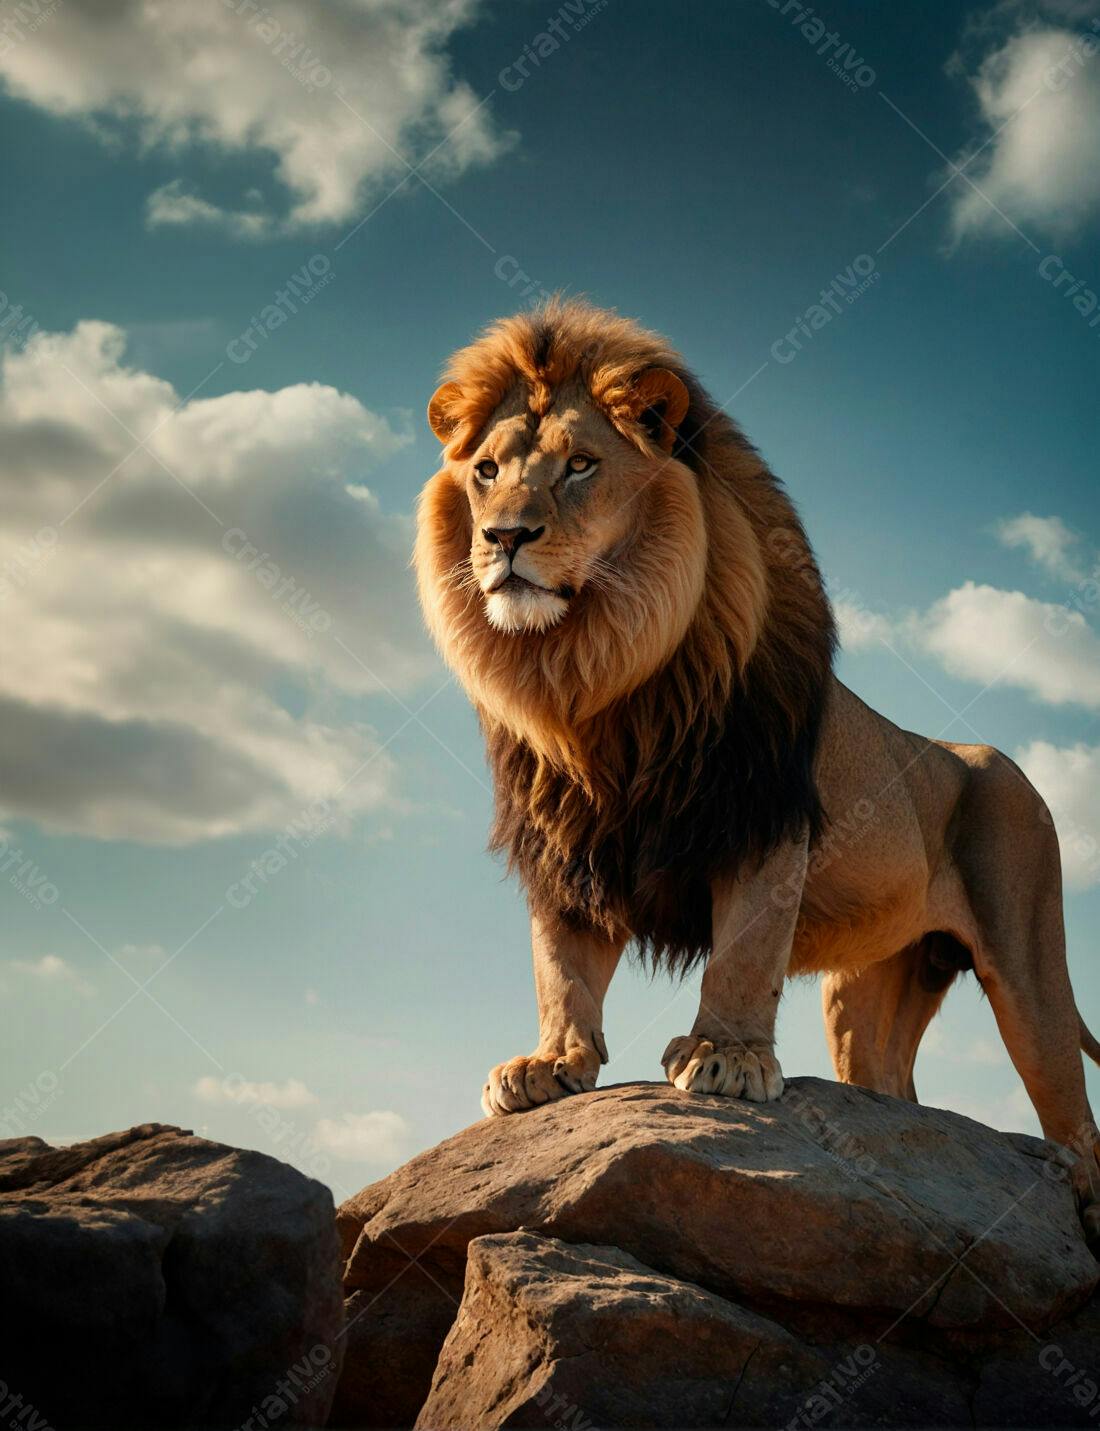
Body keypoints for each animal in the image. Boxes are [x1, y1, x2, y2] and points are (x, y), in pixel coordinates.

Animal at [415, 298, 1100, 1239]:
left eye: (581, 465)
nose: (504, 536)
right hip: (867, 992)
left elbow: (743, 947)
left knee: (1077, 1119)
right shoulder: (566, 842)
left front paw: (725, 1056)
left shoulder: (761, 815)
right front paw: (550, 1063)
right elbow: (560, 962)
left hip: (1030, 961)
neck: (594, 676)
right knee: (893, 1088)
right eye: (485, 471)